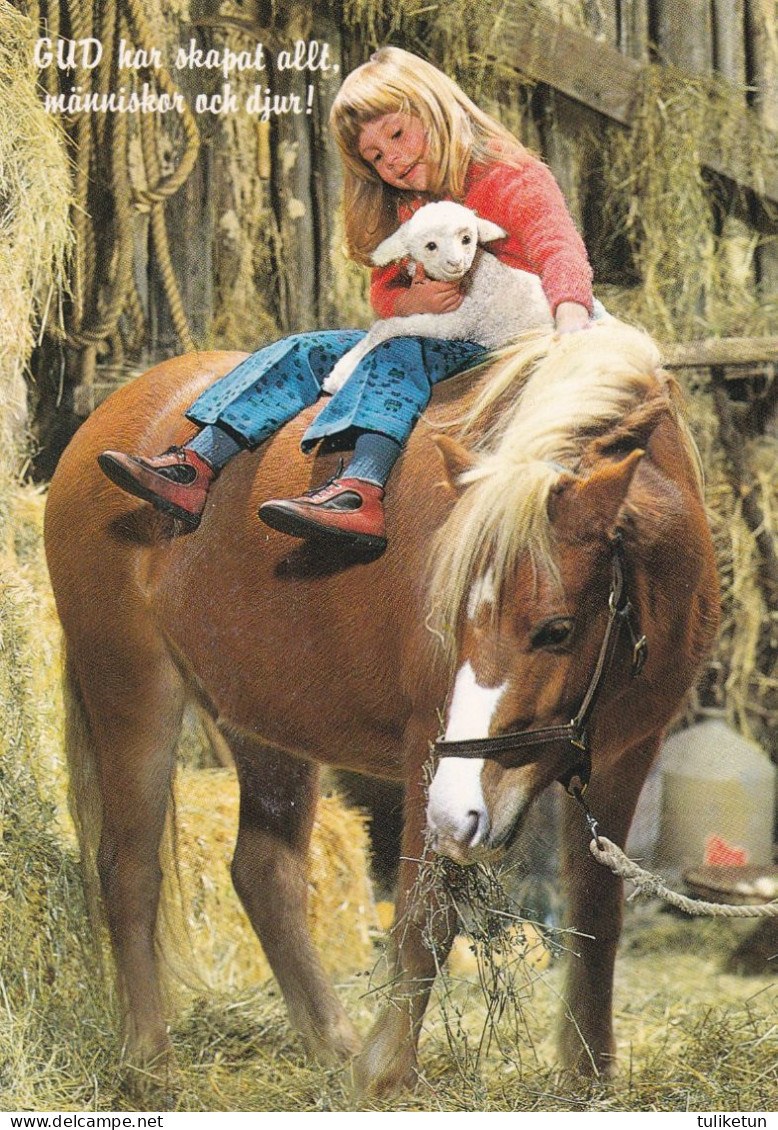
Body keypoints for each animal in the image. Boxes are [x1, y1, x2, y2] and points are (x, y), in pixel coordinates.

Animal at [45, 323, 719, 1098]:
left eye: (557, 630)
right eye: (454, 616)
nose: (467, 810)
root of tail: (113, 417)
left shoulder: (623, 756)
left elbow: (598, 912)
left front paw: (588, 1074)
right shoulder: (431, 751)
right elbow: (425, 915)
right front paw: (387, 1074)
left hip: (264, 718)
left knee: (264, 872)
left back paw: (329, 1040)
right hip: (131, 687)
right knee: (128, 866)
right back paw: (150, 1064)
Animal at [321, 201, 554, 395]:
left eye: (467, 239)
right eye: (431, 246)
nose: (456, 263)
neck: (474, 277)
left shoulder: (457, 321)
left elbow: (386, 327)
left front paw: (338, 376)